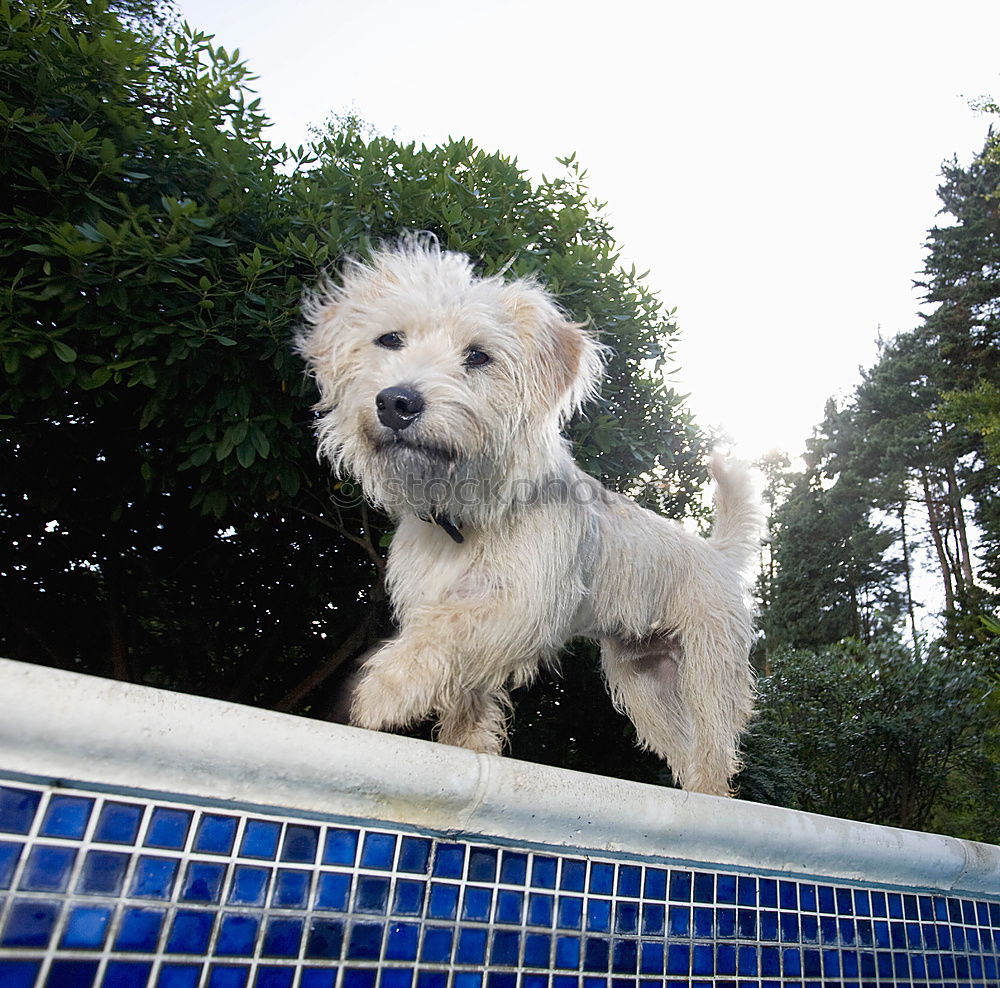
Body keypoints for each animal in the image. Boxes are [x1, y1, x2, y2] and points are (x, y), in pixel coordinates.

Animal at [294, 237, 756, 796]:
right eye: (390, 339)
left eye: (478, 356)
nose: (396, 402)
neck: (466, 511)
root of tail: (717, 554)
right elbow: (461, 690)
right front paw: (466, 747)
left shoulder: (521, 603)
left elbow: (443, 634)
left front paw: (381, 692)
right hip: (647, 684)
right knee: (686, 751)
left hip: (707, 675)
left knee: (713, 748)